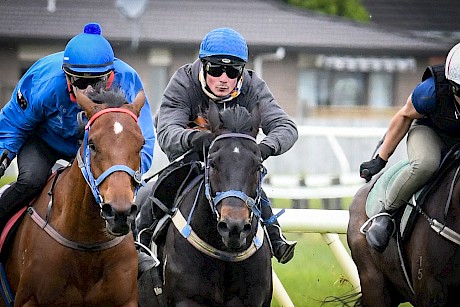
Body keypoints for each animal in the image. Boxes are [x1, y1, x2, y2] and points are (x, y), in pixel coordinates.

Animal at [0, 87, 146, 307]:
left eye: (141, 145)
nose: (120, 213)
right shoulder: (30, 299)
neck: (88, 242)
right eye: (92, 144)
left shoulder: (125, 300)